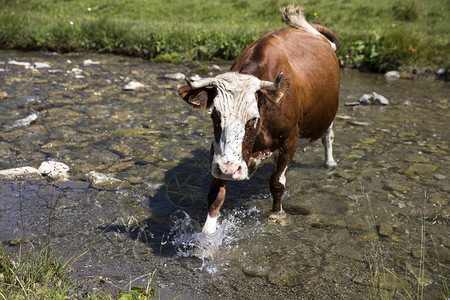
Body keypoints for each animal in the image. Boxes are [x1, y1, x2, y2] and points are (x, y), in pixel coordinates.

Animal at [178, 5, 340, 234]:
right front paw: (207, 234)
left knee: (328, 137)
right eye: (214, 115)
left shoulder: (289, 144)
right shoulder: (217, 153)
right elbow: (216, 194)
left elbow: (277, 184)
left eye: (253, 119)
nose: (229, 170)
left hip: (328, 118)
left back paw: (330, 163)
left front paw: (277, 216)